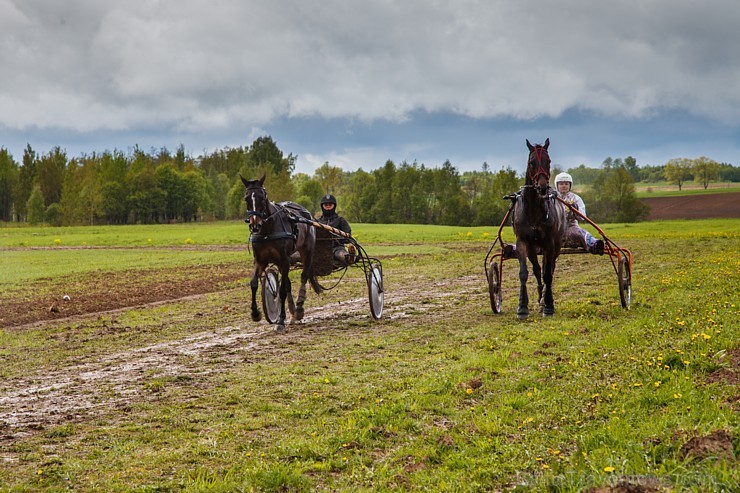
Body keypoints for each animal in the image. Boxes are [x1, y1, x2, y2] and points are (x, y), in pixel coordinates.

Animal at [244, 173, 322, 330]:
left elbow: (281, 291)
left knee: (304, 276)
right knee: (288, 283)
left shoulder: (284, 260)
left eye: (262, 197)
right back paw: (292, 310)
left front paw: (280, 320)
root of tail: (306, 213)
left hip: (307, 251)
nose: (255, 225)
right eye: (246, 198)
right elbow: (254, 283)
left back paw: (299, 308)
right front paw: (255, 313)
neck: (267, 231)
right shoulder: (260, 261)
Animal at [508, 138, 568, 320]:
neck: (534, 210)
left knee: (550, 268)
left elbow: (548, 274)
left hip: (556, 245)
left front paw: (549, 306)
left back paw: (545, 300)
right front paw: (522, 307)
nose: (542, 187)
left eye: (548, 161)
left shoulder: (550, 243)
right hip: (533, 248)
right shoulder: (522, 242)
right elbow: (524, 273)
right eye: (531, 162)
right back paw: (540, 295)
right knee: (537, 269)